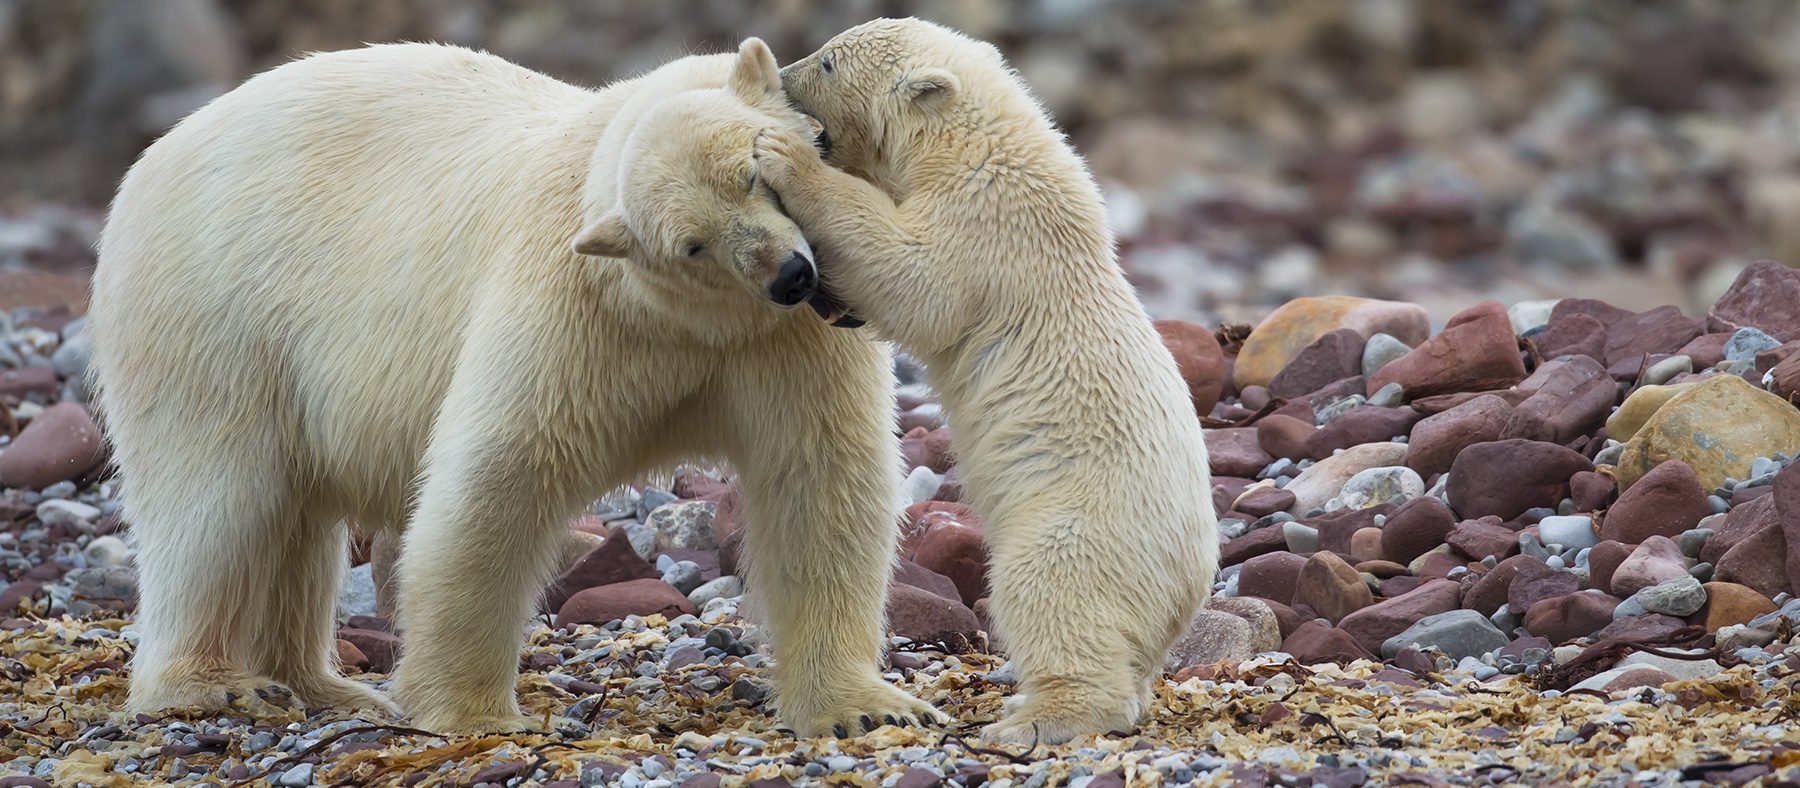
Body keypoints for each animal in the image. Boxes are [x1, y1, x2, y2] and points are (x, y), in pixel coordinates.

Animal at [91, 38, 943, 737]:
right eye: (691, 244)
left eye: (755, 175)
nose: (788, 274)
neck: (694, 322)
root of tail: (149, 159)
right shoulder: (578, 309)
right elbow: (501, 474)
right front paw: (472, 713)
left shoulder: (784, 339)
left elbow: (818, 479)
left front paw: (865, 708)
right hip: (214, 312)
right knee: (220, 501)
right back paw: (213, 684)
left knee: (293, 518)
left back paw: (319, 684)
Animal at [759, 20, 1224, 744]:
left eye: (829, 60)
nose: (783, 74)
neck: (980, 142)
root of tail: (1189, 591)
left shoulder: (987, 220)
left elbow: (917, 279)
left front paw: (786, 156)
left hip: (1082, 526)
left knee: (1049, 591)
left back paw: (1033, 718)